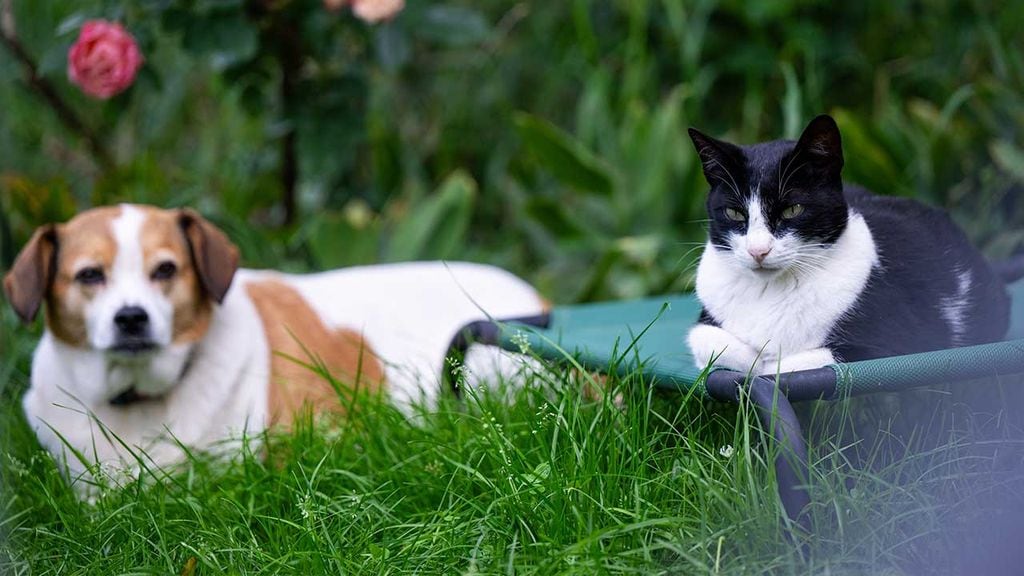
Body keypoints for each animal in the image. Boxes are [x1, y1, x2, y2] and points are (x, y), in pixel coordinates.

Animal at [684, 114, 1011, 375]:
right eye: (734, 213)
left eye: (792, 210)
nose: (758, 250)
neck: (768, 293)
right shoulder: (707, 324)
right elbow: (708, 342)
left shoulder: (901, 344)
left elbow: (787, 367)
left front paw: (768, 365)